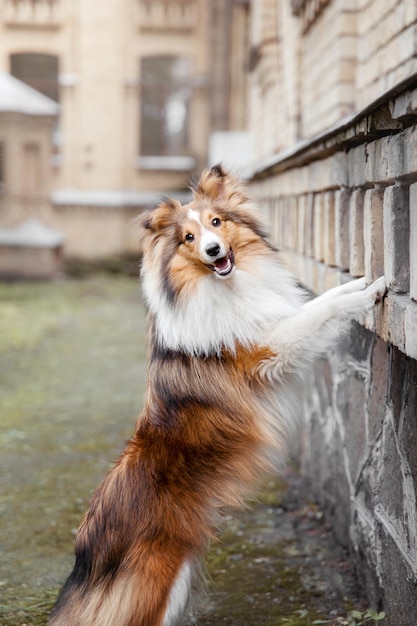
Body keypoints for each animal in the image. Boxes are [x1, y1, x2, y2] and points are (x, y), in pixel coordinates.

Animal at [49, 163, 386, 620]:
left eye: (216, 222)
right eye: (188, 238)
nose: (213, 251)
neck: (221, 286)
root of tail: (85, 549)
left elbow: (325, 298)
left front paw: (361, 280)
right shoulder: (272, 350)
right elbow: (322, 311)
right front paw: (373, 291)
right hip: (159, 580)